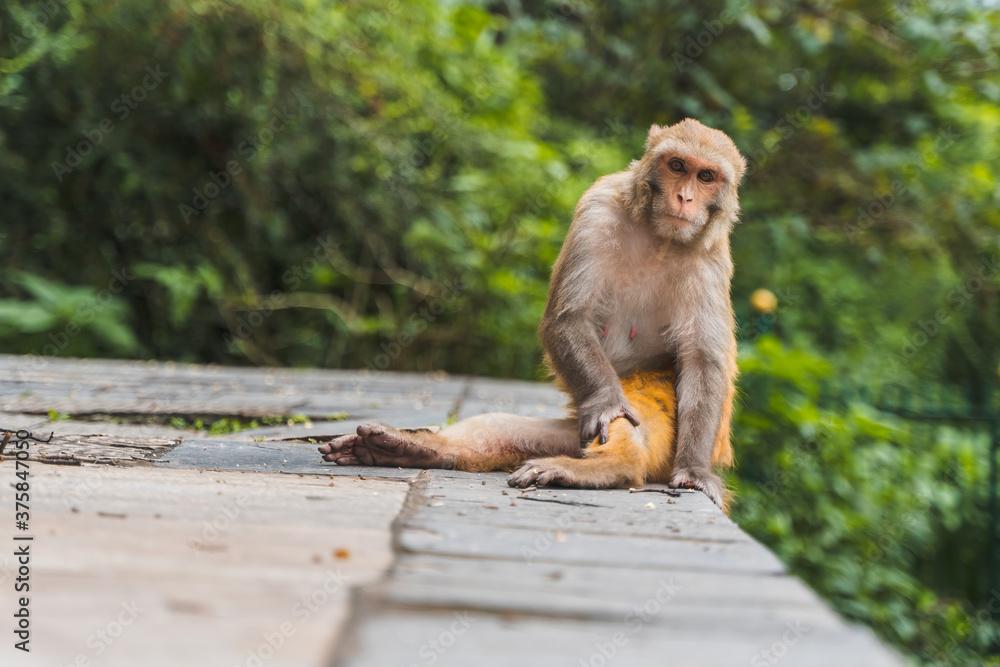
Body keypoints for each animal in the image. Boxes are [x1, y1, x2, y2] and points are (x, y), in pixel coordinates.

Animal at [319, 119, 746, 509]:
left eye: (706, 176)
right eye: (676, 166)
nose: (684, 197)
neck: (659, 238)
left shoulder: (711, 259)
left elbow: (702, 360)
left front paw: (693, 470)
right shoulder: (597, 210)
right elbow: (569, 319)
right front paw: (606, 401)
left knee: (642, 422)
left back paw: (601, 469)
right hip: (576, 430)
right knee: (509, 426)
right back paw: (412, 449)